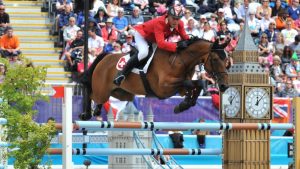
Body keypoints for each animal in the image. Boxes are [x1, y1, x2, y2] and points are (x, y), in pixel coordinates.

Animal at [79, 37, 230, 120]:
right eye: (215, 59)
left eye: (226, 59)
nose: (224, 86)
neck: (180, 60)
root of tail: (105, 57)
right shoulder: (163, 88)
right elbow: (196, 82)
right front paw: (185, 103)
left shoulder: (179, 87)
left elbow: (193, 85)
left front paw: (183, 105)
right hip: (102, 91)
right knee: (92, 93)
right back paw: (86, 114)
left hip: (122, 94)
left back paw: (96, 110)